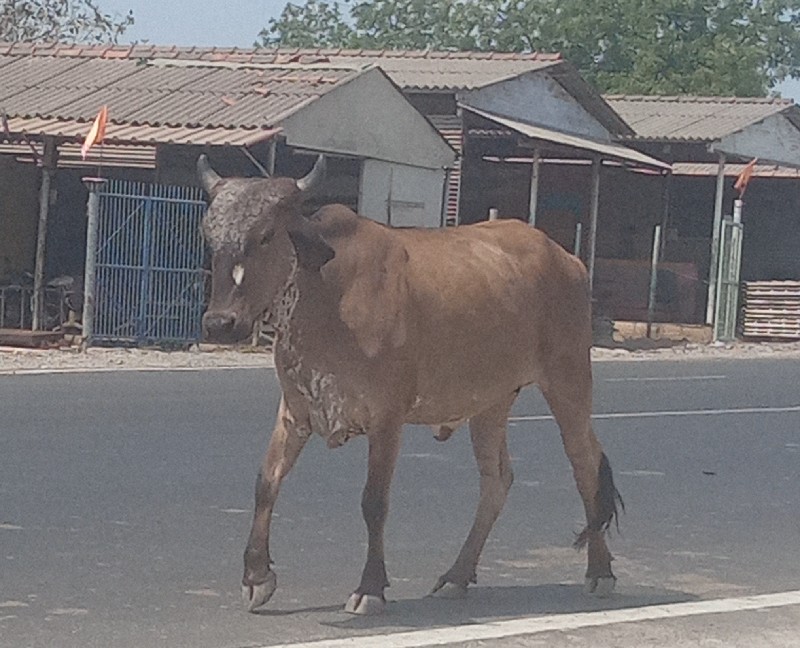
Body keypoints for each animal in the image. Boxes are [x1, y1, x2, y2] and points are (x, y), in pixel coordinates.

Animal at [197, 154, 620, 616]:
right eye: (210, 236)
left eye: (266, 235)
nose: (220, 323)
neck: (326, 293)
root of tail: (568, 258)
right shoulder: (295, 410)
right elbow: (266, 482)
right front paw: (257, 577)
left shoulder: (387, 416)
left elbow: (374, 501)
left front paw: (371, 587)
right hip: (491, 401)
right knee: (497, 480)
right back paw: (457, 575)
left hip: (568, 379)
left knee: (585, 466)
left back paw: (600, 571)